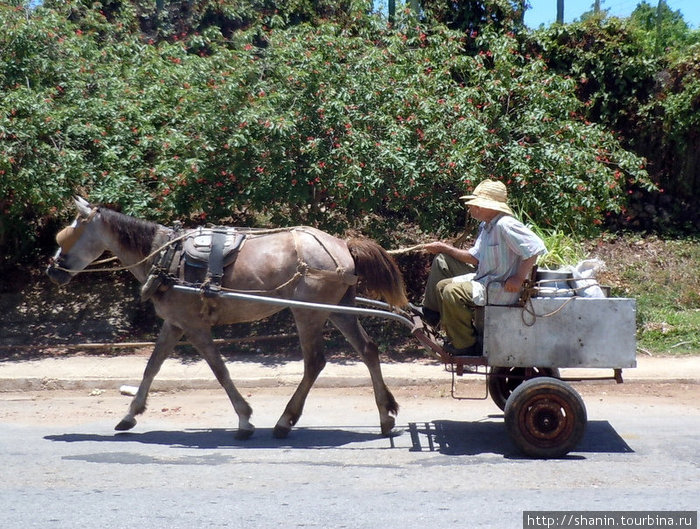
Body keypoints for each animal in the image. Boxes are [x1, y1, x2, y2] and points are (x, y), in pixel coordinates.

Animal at [46, 196, 408, 440]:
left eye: (67, 235)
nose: (52, 269)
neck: (166, 255)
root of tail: (343, 245)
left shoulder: (195, 327)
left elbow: (219, 370)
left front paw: (245, 420)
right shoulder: (174, 324)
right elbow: (152, 366)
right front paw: (130, 415)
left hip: (307, 312)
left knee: (315, 362)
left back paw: (285, 420)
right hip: (337, 310)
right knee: (368, 350)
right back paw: (385, 415)